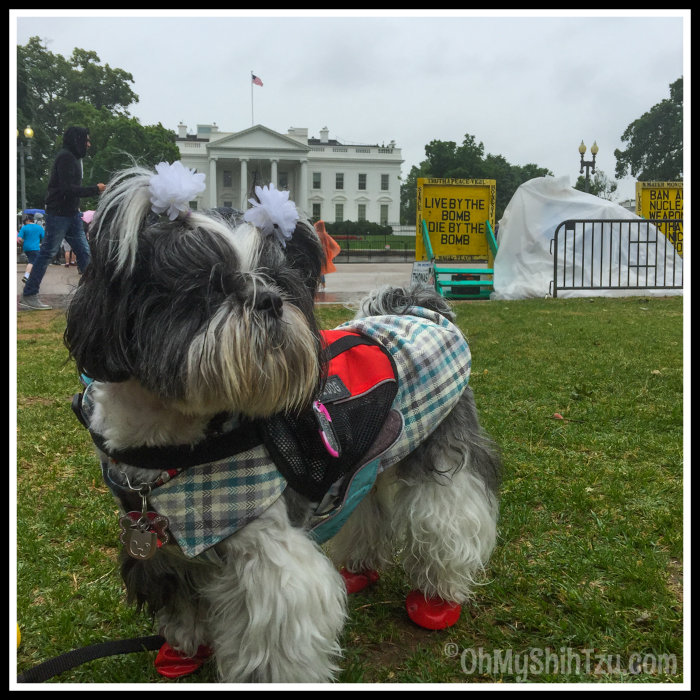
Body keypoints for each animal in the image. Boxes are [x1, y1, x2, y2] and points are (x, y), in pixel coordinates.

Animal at [65, 161, 500, 680]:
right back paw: (359, 569)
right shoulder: (159, 543)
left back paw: (436, 597)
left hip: (441, 449)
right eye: (205, 286)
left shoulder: (266, 556)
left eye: (279, 280)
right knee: (367, 505)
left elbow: (274, 636)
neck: (177, 444)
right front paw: (184, 648)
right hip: (369, 456)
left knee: (448, 519)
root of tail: (418, 308)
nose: (268, 299)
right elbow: (181, 601)